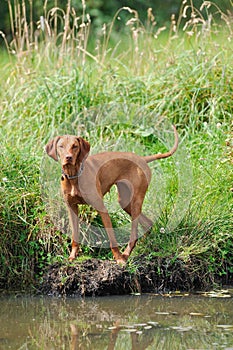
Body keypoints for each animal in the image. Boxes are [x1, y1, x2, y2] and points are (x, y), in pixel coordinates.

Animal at [44, 124, 177, 264]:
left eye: (75, 146)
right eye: (61, 146)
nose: (68, 157)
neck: (74, 176)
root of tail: (141, 158)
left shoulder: (101, 208)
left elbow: (112, 238)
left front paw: (118, 258)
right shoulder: (72, 208)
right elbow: (75, 237)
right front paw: (72, 256)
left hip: (136, 200)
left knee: (134, 233)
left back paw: (125, 254)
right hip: (125, 201)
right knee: (147, 223)